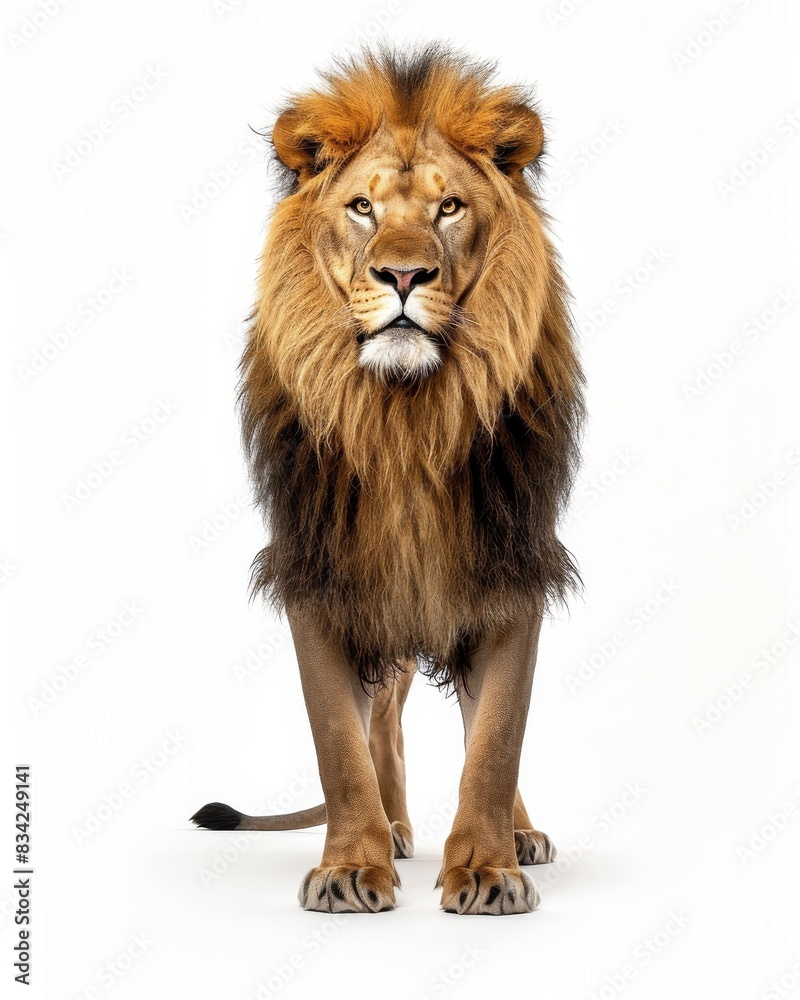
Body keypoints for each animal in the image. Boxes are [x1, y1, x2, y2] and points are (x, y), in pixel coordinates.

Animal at [192, 45, 584, 916]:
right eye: (364, 207)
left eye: (450, 207)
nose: (404, 276)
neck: (406, 416)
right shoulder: (319, 572)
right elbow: (341, 743)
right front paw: (351, 866)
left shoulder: (508, 565)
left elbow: (496, 737)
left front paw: (487, 868)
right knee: (385, 725)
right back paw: (398, 830)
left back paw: (519, 836)